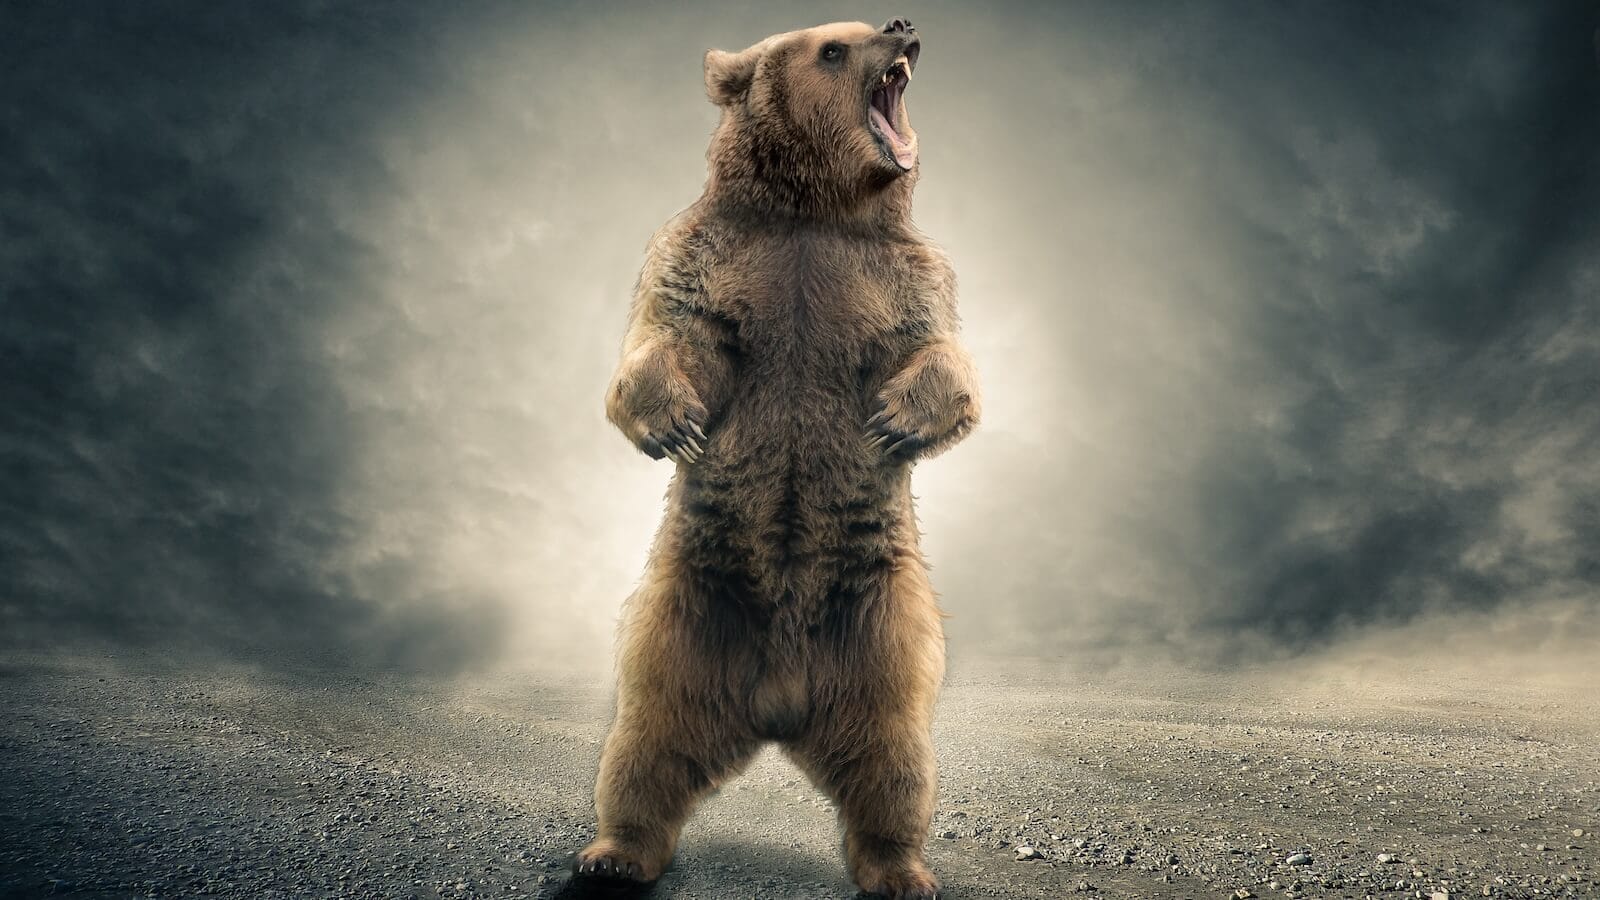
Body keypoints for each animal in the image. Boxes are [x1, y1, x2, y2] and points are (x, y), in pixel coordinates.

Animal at [576, 17, 979, 900]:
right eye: (834, 45)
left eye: (866, 29)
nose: (904, 25)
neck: (812, 213)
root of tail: (776, 706)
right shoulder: (706, 254)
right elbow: (667, 332)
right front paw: (676, 425)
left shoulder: (905, 274)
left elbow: (939, 353)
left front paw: (895, 423)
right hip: (684, 622)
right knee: (641, 748)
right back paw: (613, 853)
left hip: (880, 640)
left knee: (896, 765)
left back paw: (902, 869)